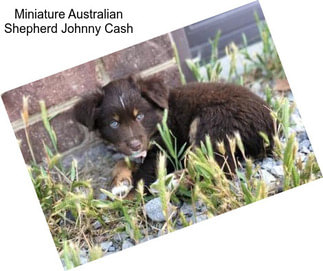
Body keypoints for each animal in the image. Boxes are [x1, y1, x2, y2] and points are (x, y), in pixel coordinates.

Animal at [74, 76, 274, 200]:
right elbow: (123, 161)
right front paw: (120, 181)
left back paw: (172, 182)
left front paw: (130, 192)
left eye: (140, 116)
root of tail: (271, 127)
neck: (158, 118)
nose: (135, 145)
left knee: (220, 169)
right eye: (114, 124)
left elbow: (143, 177)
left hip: (212, 123)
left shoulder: (166, 148)